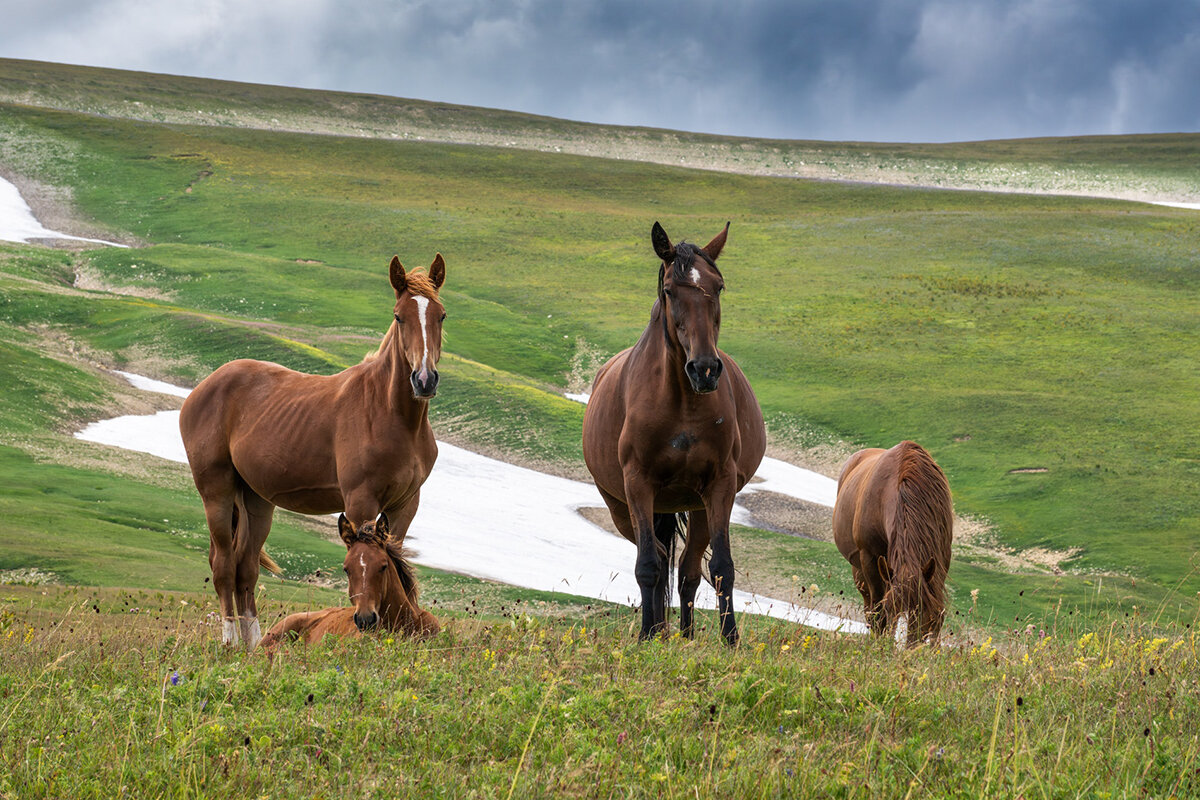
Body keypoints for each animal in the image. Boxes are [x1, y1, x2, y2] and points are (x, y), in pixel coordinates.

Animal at [583, 220, 768, 642]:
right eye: (669, 289)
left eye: (719, 286)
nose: (704, 369)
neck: (682, 402)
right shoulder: (637, 485)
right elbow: (648, 566)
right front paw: (646, 637)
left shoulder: (720, 485)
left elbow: (721, 567)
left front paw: (730, 640)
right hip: (623, 508)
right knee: (658, 558)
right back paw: (657, 630)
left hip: (697, 505)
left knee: (686, 569)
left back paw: (683, 635)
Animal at [835, 441, 955, 647]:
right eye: (891, 608)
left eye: (922, 609)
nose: (900, 649)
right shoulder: (870, 557)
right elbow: (877, 611)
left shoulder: (941, 556)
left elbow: (938, 610)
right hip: (860, 570)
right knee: (869, 607)